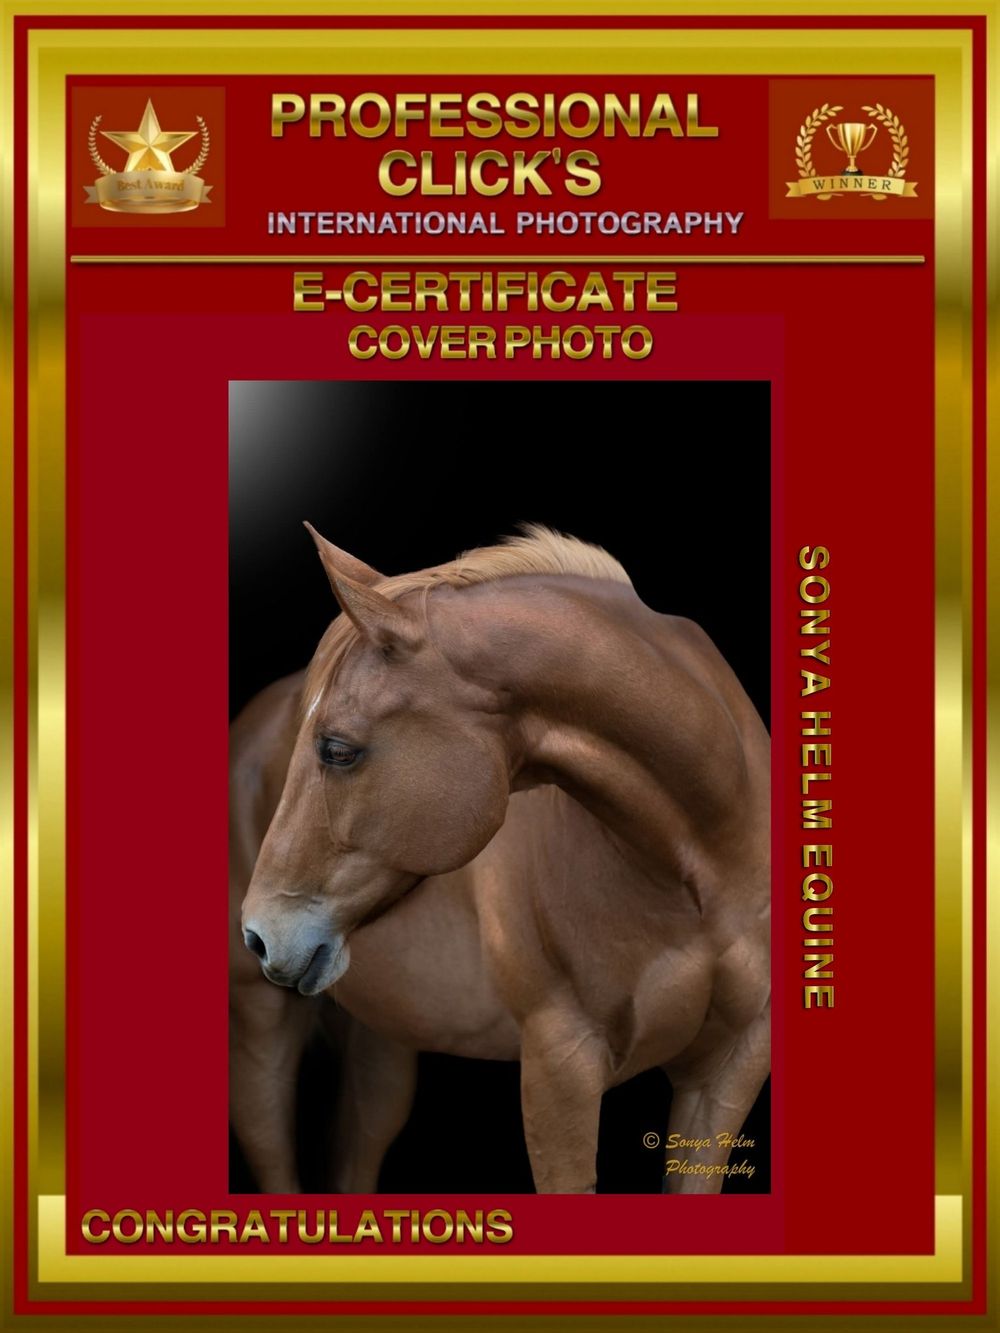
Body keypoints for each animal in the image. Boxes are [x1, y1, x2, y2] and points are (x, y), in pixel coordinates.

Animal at [235, 525, 771, 1194]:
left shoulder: (728, 1070)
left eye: (337, 749)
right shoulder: (559, 1066)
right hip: (261, 1022)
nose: (259, 934)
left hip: (383, 1039)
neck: (701, 872)